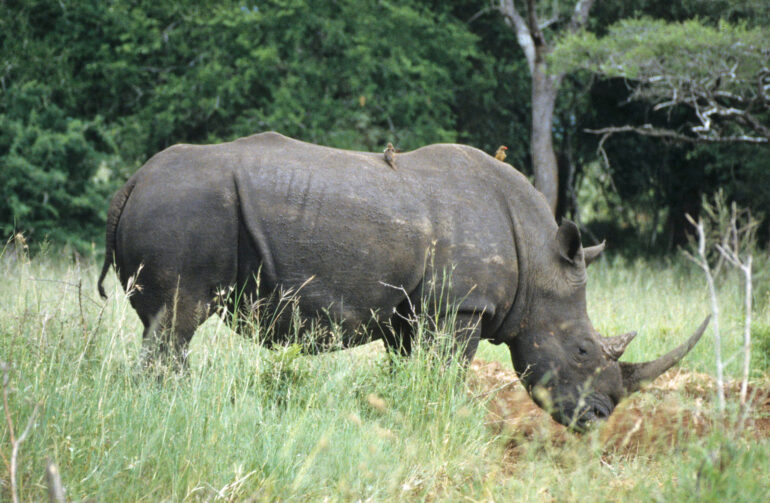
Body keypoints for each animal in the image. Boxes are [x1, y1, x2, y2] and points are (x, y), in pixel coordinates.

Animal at [98, 131, 709, 430]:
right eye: (582, 350)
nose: (600, 418)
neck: (539, 261)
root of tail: (131, 182)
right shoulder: (461, 308)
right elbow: (444, 375)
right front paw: (446, 418)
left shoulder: (411, 314)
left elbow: (406, 374)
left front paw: (396, 411)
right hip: (184, 210)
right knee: (178, 320)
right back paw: (174, 406)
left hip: (174, 206)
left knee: (162, 325)